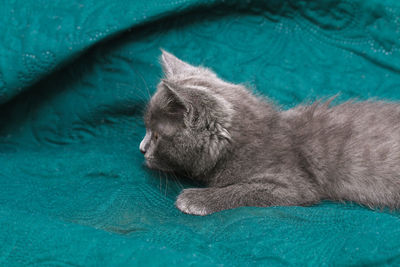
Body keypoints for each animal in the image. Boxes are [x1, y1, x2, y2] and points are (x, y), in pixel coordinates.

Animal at [140, 50, 400, 217]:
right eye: (147, 129)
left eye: (157, 136)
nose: (141, 149)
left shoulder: (293, 183)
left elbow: (244, 190)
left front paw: (196, 199)